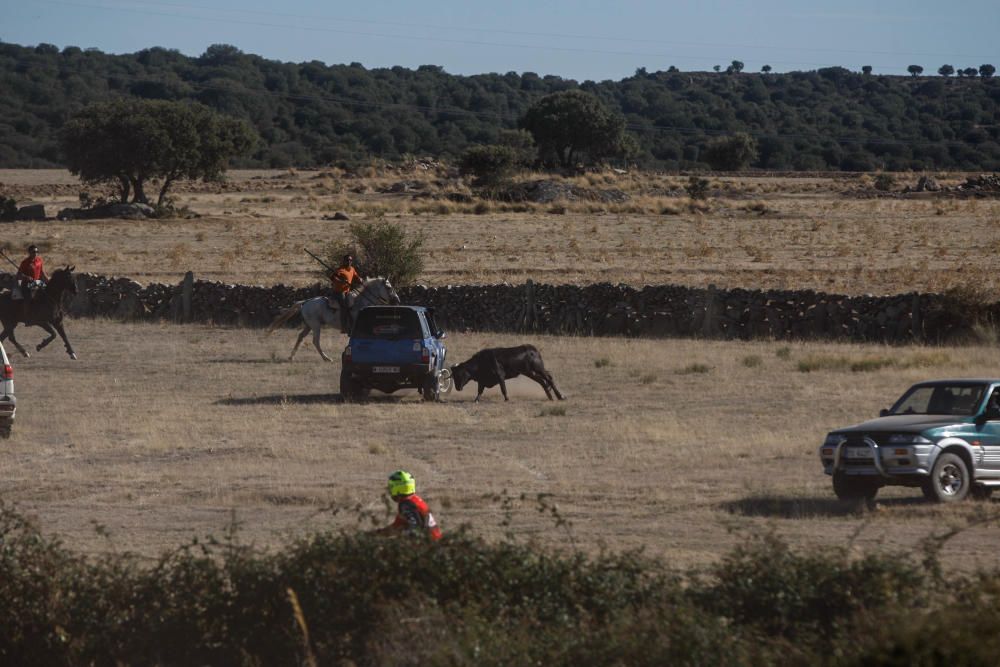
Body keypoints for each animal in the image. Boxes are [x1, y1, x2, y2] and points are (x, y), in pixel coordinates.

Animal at [272, 276, 404, 362]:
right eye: (389, 287)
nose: (397, 301)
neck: (362, 303)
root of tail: (305, 302)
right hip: (315, 326)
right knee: (315, 341)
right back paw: (326, 358)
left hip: (309, 325)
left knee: (300, 336)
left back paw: (291, 357)